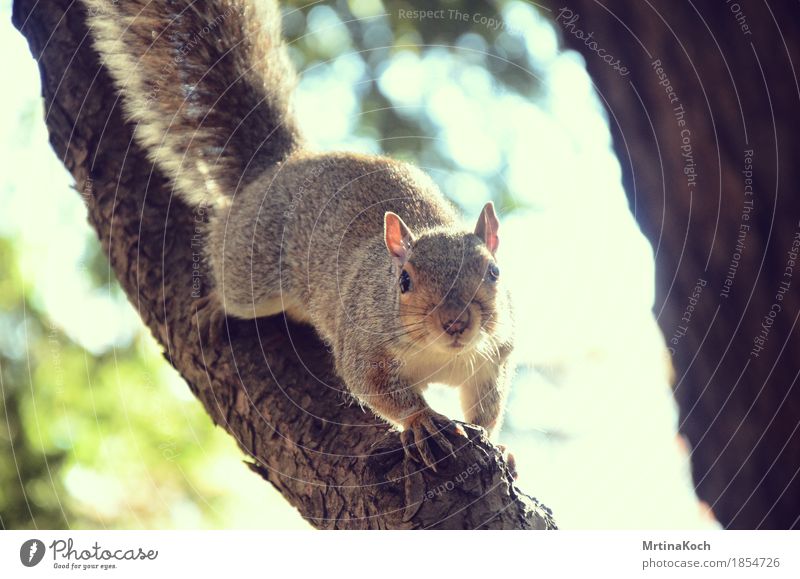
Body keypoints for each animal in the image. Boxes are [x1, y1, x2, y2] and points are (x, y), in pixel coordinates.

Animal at [84, 0, 512, 472]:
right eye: (404, 281)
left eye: (494, 273)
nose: (455, 322)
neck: (439, 353)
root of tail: (282, 165)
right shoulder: (363, 345)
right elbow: (376, 388)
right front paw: (421, 421)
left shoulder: (492, 357)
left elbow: (488, 407)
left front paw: (497, 445)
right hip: (253, 268)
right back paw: (214, 303)